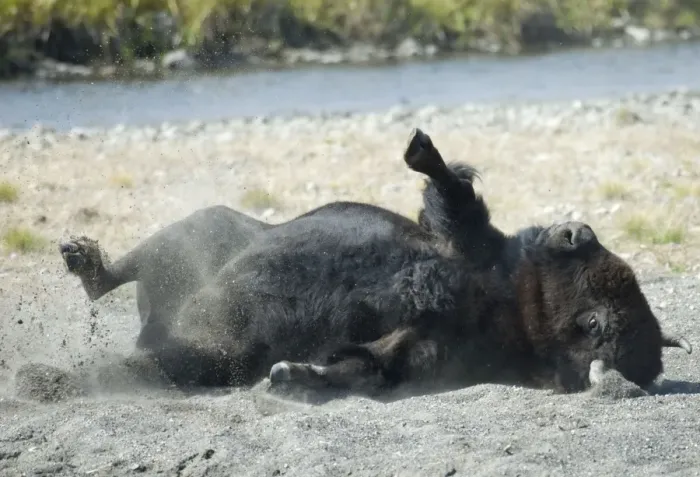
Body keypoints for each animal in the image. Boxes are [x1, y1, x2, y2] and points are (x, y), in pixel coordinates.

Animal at [59, 128, 692, 401]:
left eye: (599, 322)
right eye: (601, 304)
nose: (574, 231)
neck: (507, 306)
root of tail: (155, 328)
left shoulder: (428, 348)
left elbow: (368, 366)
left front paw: (290, 375)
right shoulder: (463, 242)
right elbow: (453, 193)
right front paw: (420, 147)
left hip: (209, 353)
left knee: (156, 357)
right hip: (205, 230)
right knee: (118, 275)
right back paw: (80, 257)